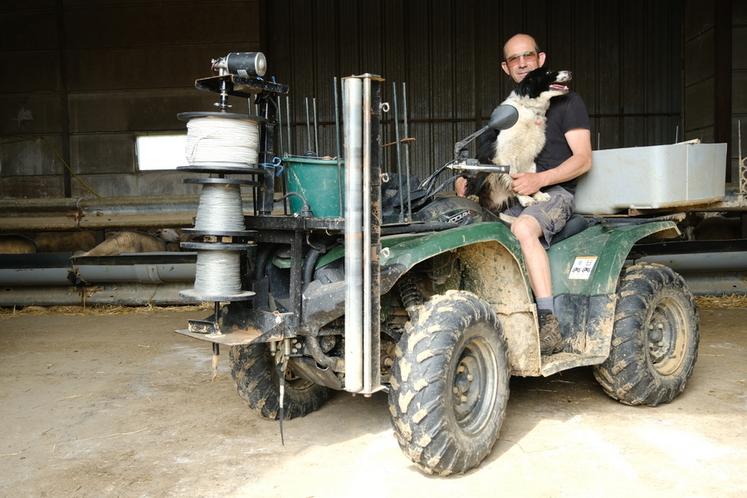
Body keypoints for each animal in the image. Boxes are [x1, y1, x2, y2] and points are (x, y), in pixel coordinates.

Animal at [476, 67, 568, 212]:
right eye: (548, 73)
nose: (570, 72)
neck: (529, 109)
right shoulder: (506, 154)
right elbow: (514, 179)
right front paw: (525, 199)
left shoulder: (530, 156)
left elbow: (529, 176)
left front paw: (538, 195)